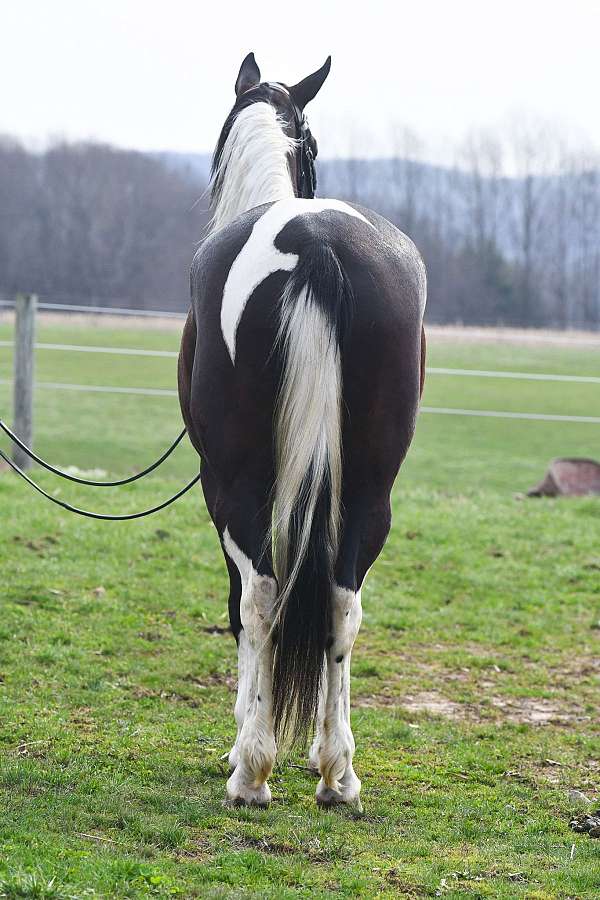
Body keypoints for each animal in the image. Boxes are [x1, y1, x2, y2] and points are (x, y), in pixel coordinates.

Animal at [178, 52, 427, 809]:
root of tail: (315, 241)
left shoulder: (217, 488)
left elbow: (240, 607)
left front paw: (243, 730)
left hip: (239, 482)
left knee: (259, 595)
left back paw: (250, 772)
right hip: (370, 487)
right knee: (344, 601)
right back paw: (337, 773)